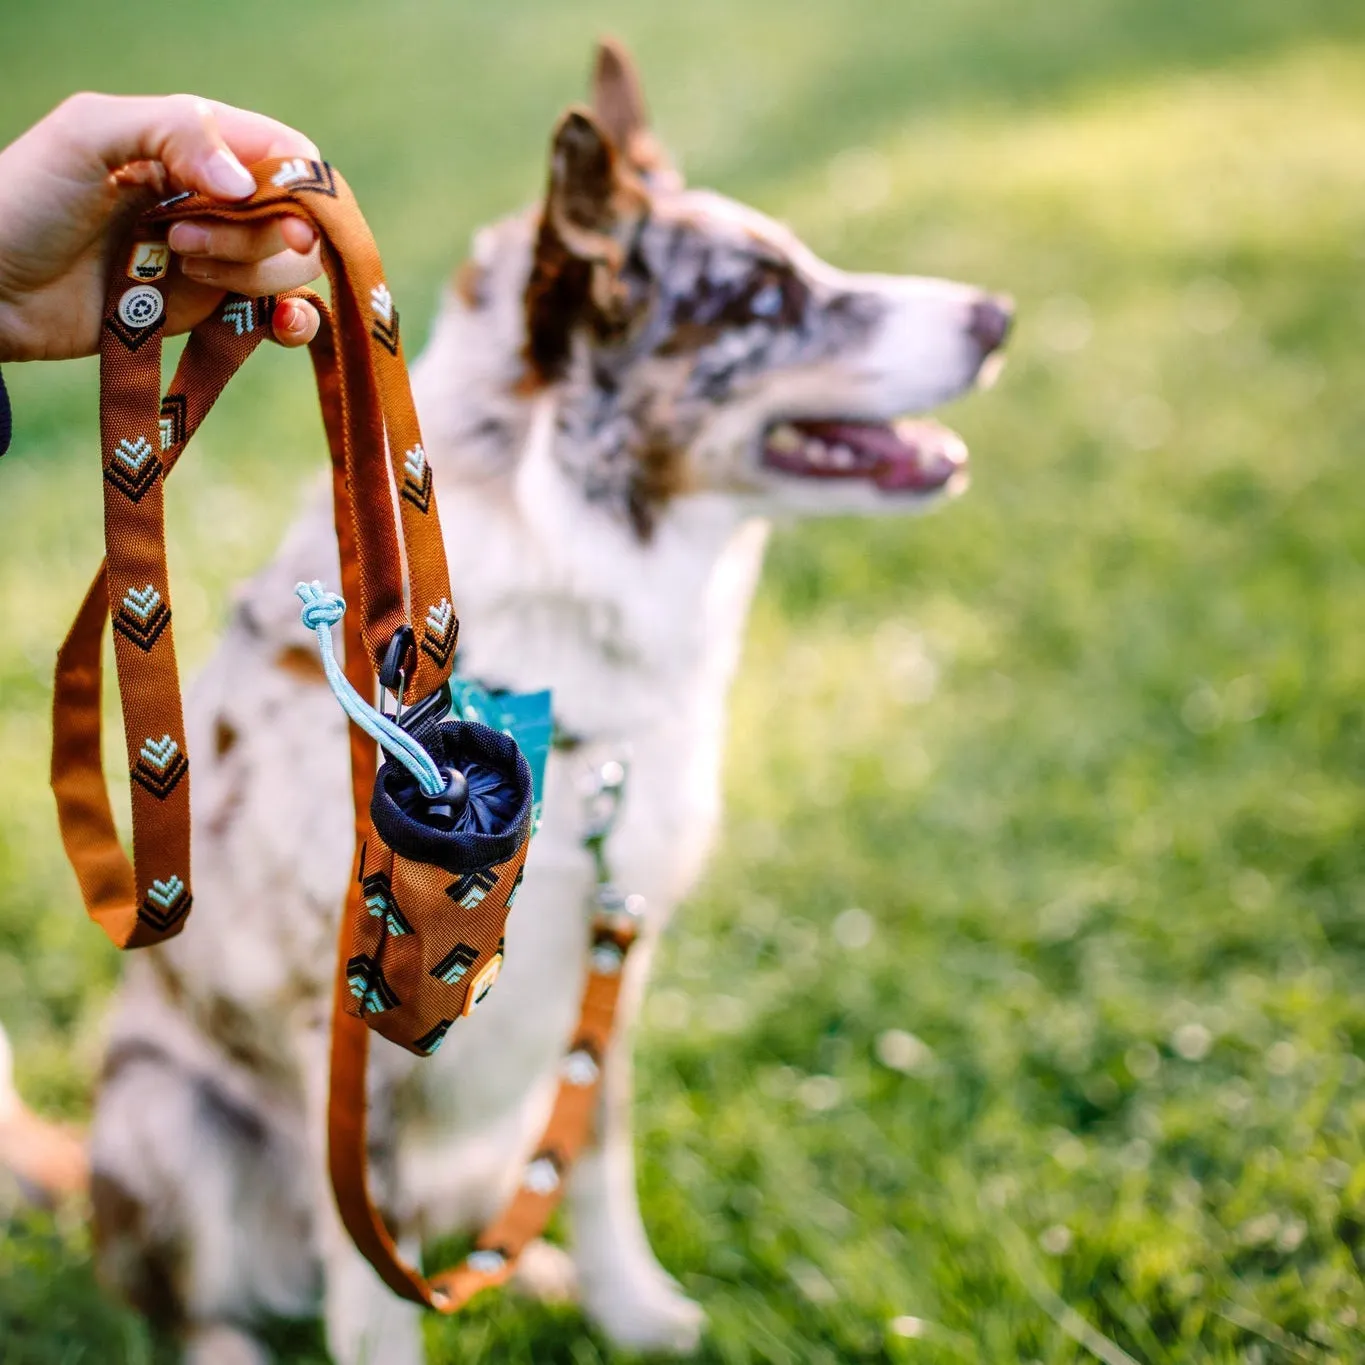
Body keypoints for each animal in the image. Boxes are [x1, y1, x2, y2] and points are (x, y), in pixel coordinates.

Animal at [2, 38, 1009, 1365]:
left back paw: (533, 1278)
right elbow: (376, 1292)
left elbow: (593, 1161)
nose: (998, 317)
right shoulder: (349, 1045)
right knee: (195, 1302)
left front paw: (632, 1311)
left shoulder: (611, 964)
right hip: (163, 1118)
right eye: (761, 302)